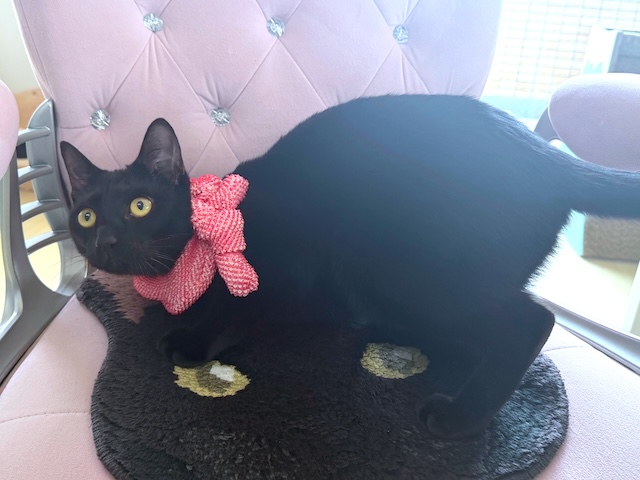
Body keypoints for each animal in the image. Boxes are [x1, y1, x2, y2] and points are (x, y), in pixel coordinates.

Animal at [60, 94, 640, 439]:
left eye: (140, 206)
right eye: (86, 216)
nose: (106, 239)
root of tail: (549, 156)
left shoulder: (290, 270)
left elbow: (240, 308)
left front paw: (190, 339)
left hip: (392, 267)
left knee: (529, 320)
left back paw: (460, 415)